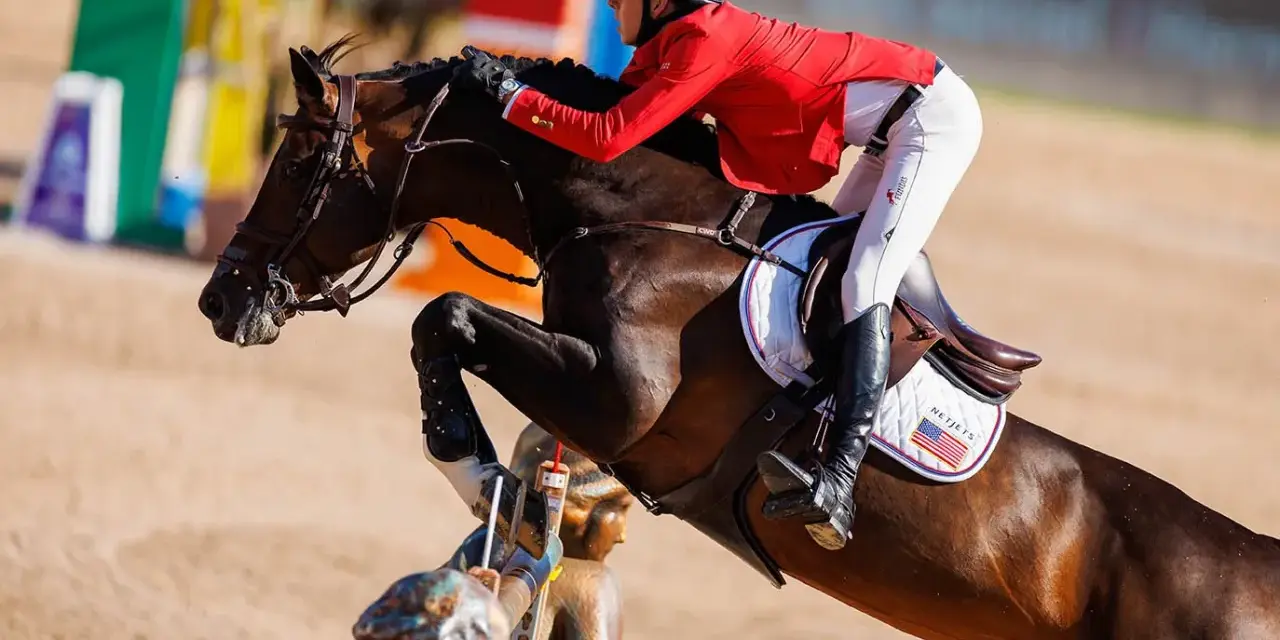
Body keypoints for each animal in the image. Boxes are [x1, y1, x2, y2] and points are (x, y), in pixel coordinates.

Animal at [196, 39, 1280, 639]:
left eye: (298, 160)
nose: (219, 298)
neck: (637, 216)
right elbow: (454, 341)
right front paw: (500, 494)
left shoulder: (623, 404)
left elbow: (444, 317)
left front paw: (474, 469)